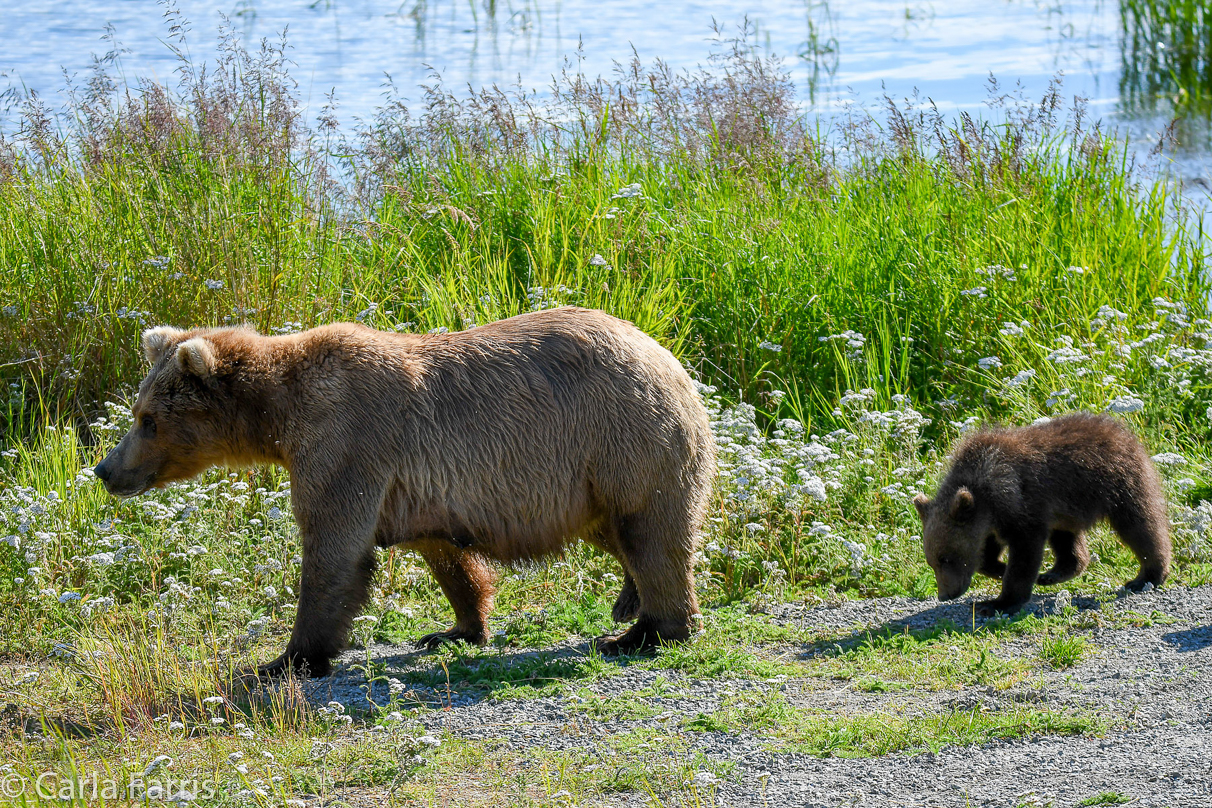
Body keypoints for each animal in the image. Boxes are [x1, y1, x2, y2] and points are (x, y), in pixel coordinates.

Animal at [99, 307, 717, 678]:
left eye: (147, 419)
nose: (106, 470)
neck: (277, 415)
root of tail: (675, 363)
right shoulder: (417, 487)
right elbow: (444, 554)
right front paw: (455, 629)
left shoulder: (346, 441)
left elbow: (333, 553)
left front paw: (289, 658)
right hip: (590, 481)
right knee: (623, 537)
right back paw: (631, 608)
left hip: (623, 439)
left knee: (652, 537)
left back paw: (647, 633)